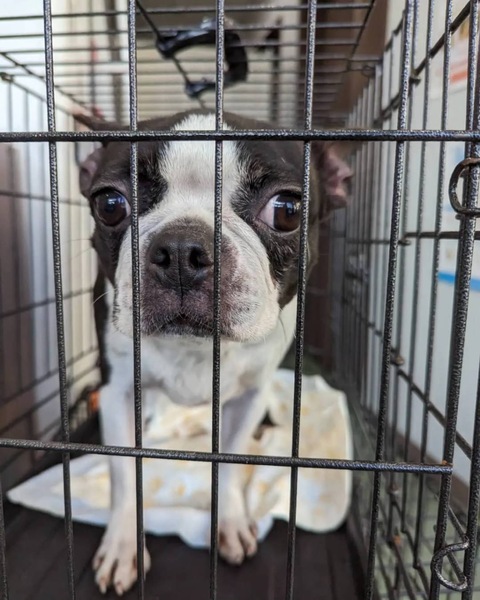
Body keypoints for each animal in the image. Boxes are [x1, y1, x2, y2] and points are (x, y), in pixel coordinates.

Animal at [76, 109, 351, 595]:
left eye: (287, 211)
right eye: (109, 204)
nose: (181, 249)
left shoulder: (249, 397)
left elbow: (231, 460)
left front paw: (229, 522)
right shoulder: (118, 393)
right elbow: (126, 474)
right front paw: (123, 545)